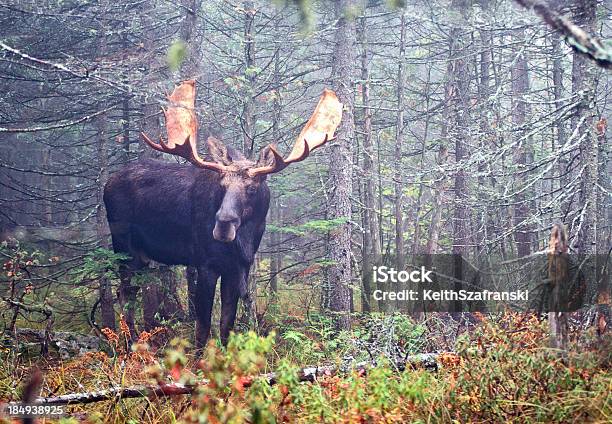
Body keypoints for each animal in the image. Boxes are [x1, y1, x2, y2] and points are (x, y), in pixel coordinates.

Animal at [103, 80, 342, 348]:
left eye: (252, 188)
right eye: (222, 185)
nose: (223, 225)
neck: (245, 241)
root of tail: (107, 185)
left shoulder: (239, 267)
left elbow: (227, 324)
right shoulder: (206, 264)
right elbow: (203, 326)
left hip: (141, 256)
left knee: (129, 292)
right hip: (123, 248)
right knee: (124, 293)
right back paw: (129, 345)